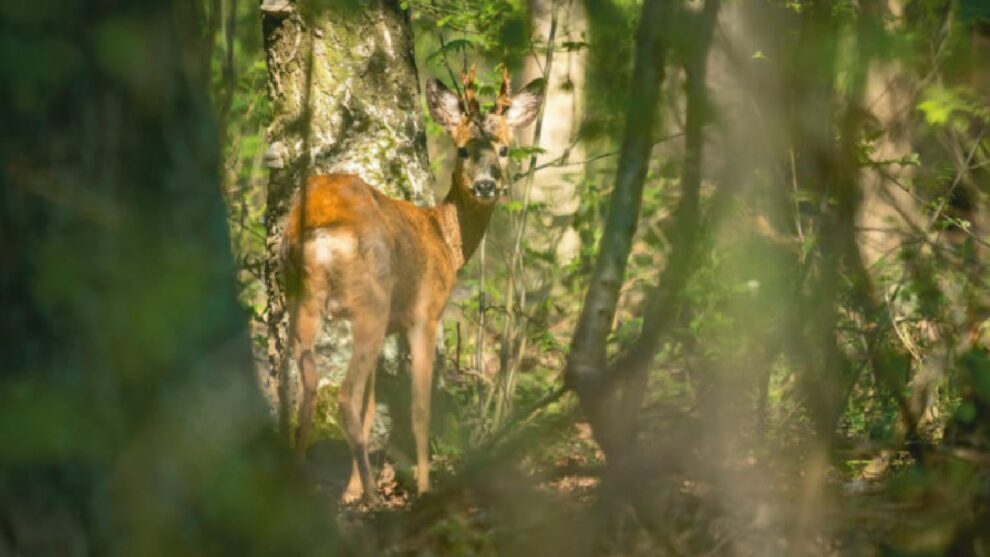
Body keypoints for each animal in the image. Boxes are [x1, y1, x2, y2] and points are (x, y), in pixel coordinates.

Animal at [280, 67, 548, 502]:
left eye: (505, 149)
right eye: (462, 150)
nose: (486, 186)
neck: (445, 239)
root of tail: (316, 224)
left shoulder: (391, 324)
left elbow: (372, 408)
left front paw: (350, 491)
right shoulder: (426, 312)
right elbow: (420, 410)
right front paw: (423, 488)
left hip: (300, 301)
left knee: (309, 390)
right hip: (369, 302)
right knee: (343, 396)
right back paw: (374, 495)